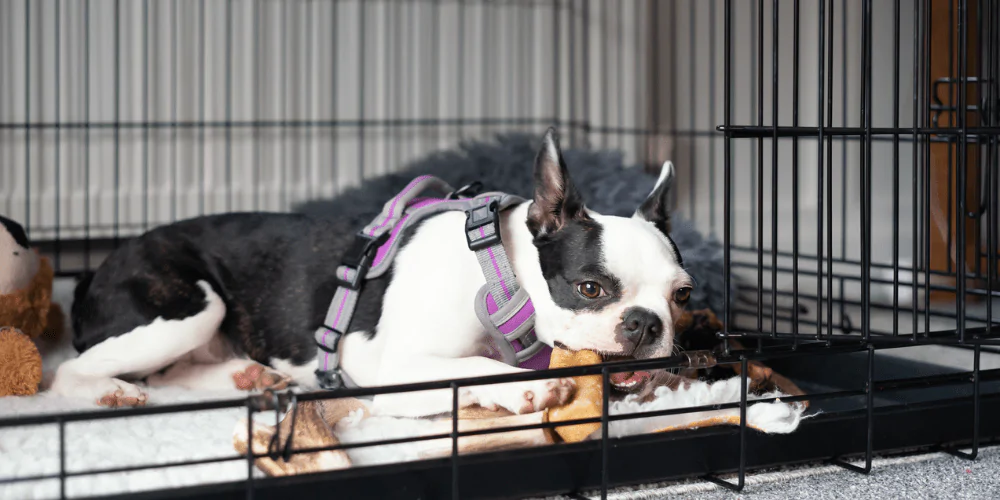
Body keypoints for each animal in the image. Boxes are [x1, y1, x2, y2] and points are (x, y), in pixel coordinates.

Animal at [50, 130, 692, 418]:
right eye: (590, 289)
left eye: (682, 297)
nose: (644, 324)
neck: (499, 273)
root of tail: (91, 274)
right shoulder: (386, 365)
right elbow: (472, 369)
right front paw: (524, 386)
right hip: (190, 306)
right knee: (71, 372)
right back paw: (112, 389)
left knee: (171, 374)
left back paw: (248, 377)